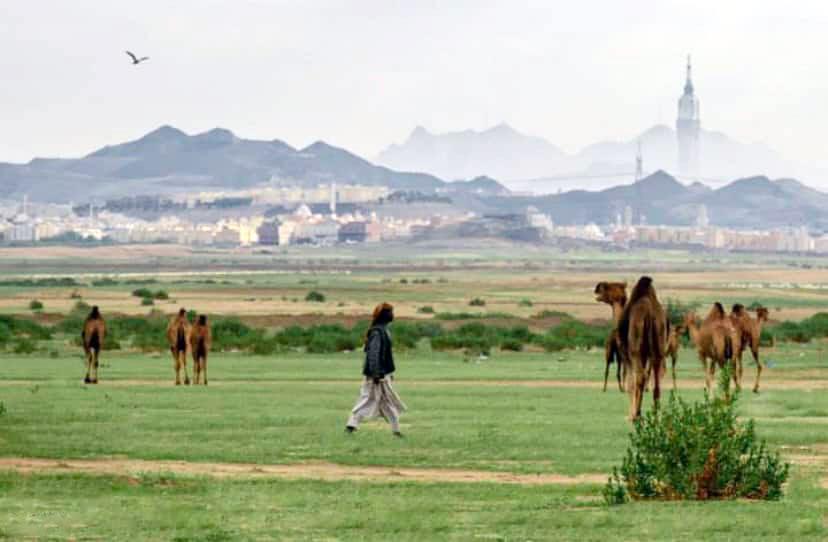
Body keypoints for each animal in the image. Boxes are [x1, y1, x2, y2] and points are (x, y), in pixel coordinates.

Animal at [616, 278, 668, 422]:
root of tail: (649, 312)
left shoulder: (626, 354)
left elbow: (630, 383)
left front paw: (631, 415)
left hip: (635, 350)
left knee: (640, 376)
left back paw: (636, 415)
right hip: (658, 345)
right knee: (657, 378)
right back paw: (655, 414)